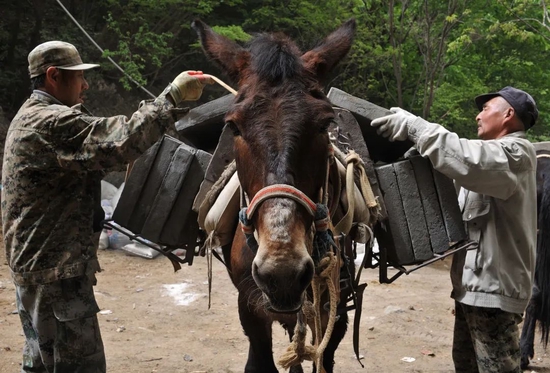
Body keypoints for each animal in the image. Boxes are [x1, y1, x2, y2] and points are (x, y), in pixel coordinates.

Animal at [193, 20, 358, 372]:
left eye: (324, 124)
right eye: (234, 126)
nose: (282, 272)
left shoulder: (335, 309)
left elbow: (322, 359)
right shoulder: (250, 306)